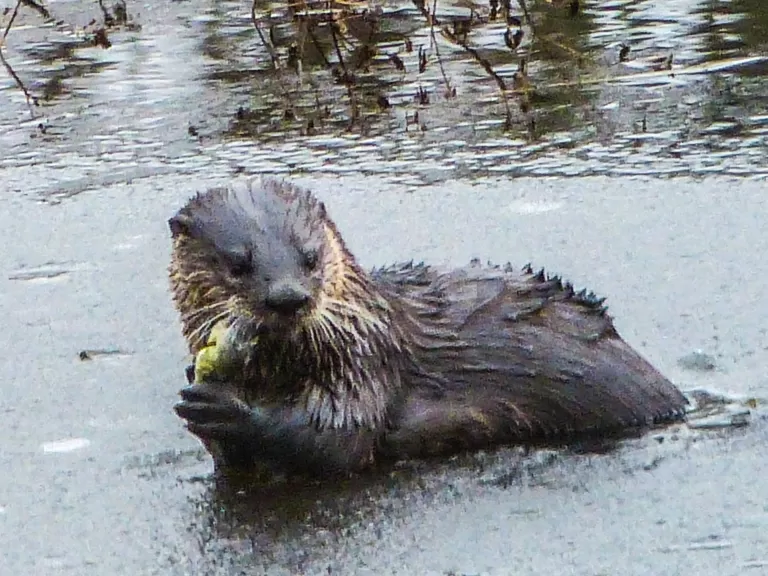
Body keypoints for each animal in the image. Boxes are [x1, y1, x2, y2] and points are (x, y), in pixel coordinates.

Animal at [168, 178, 687, 477]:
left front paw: (225, 408)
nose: (289, 297)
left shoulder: (364, 358)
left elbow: (334, 441)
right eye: (238, 264)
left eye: (309, 256)